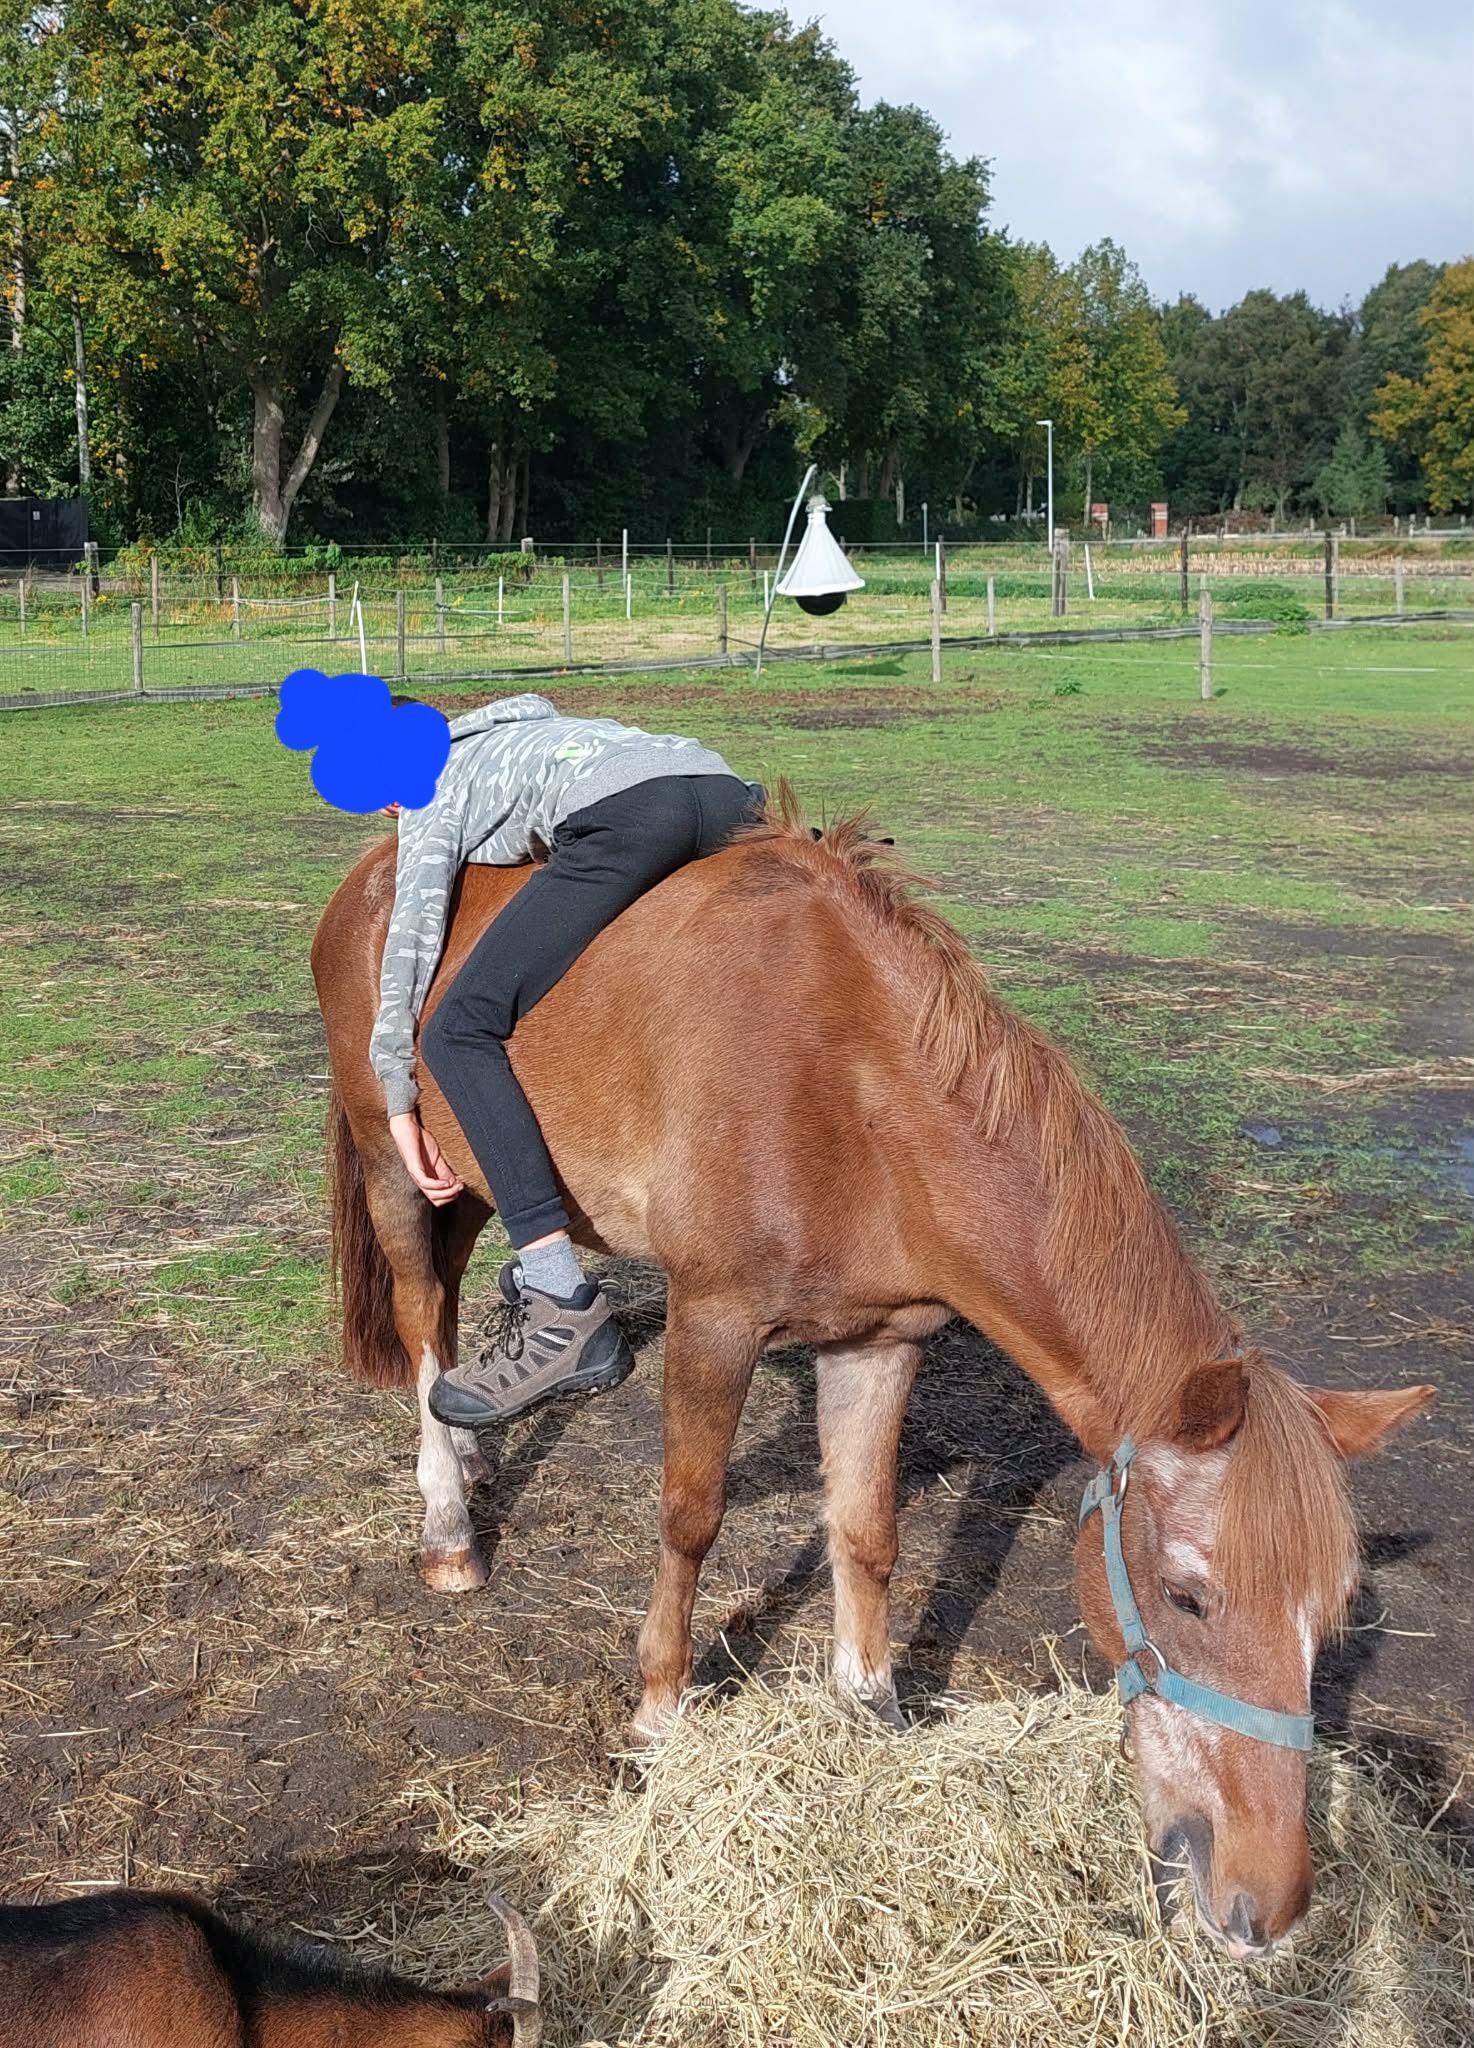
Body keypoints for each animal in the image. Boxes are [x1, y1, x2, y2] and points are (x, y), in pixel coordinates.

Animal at [311, 793, 1432, 1961]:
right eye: (1186, 1596)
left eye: (1329, 1614)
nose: (1266, 1908)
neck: (853, 1089)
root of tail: (373, 869)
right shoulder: (714, 1320)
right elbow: (690, 1517)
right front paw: (660, 1710)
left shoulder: (880, 1341)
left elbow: (866, 1527)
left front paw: (871, 1709)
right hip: (397, 1168)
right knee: (419, 1318)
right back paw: (448, 1523)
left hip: (467, 1178)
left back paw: (475, 1439)